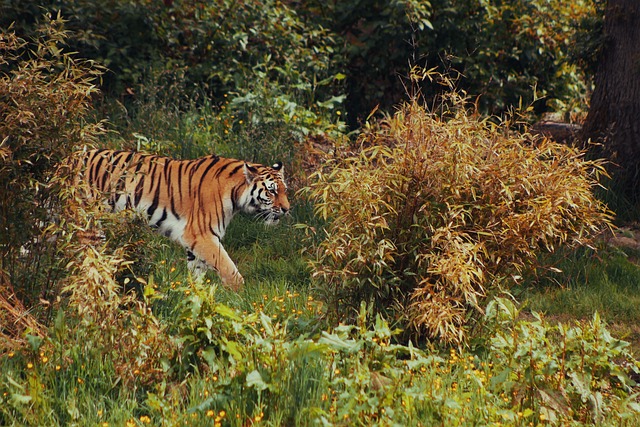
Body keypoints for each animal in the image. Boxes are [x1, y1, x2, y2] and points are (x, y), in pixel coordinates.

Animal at [77, 149, 290, 292]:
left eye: (284, 190)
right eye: (271, 191)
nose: (287, 209)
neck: (236, 194)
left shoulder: (196, 243)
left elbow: (196, 275)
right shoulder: (202, 235)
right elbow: (229, 269)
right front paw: (239, 295)